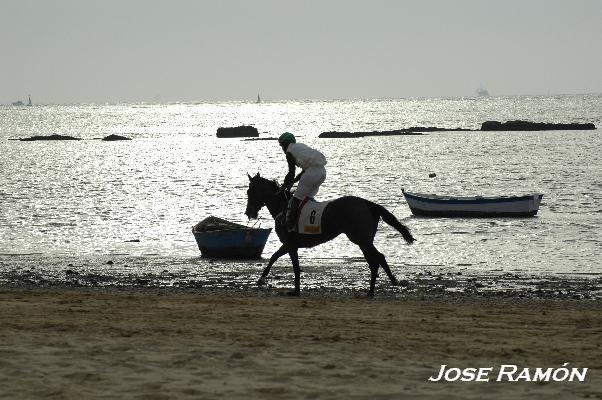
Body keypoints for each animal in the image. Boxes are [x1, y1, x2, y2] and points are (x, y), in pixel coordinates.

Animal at [243, 173, 412, 296]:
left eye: (250, 192)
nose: (248, 212)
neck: (283, 207)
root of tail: (367, 203)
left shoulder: (290, 244)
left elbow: (291, 265)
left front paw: (294, 291)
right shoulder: (290, 244)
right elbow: (275, 257)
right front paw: (262, 278)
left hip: (360, 239)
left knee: (377, 259)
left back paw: (378, 288)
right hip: (364, 240)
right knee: (374, 260)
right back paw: (378, 287)